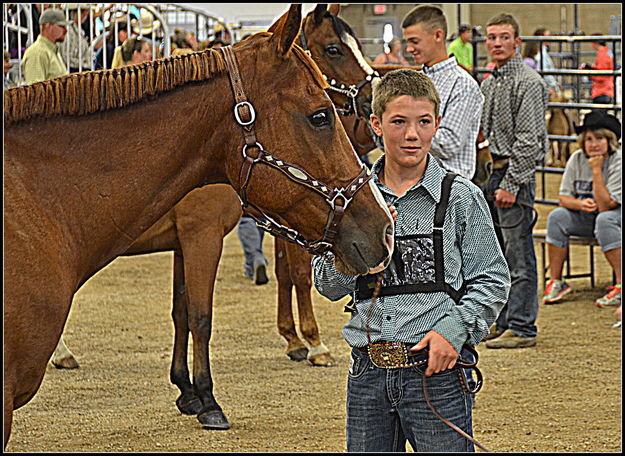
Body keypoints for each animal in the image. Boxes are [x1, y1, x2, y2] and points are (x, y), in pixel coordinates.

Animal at [4, 3, 392, 446]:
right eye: (319, 116)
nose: (384, 228)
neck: (39, 197)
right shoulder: (201, 236)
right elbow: (205, 315)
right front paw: (212, 398)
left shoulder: (184, 242)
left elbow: (182, 312)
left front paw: (187, 390)